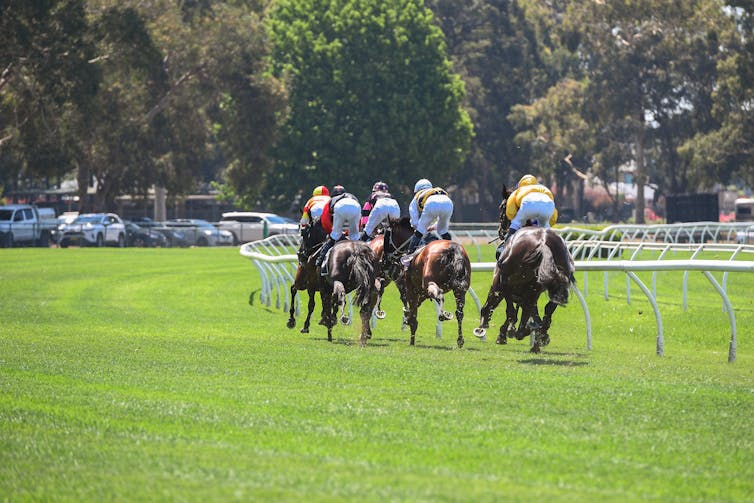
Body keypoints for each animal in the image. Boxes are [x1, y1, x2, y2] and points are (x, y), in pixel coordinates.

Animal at [394, 219, 470, 348]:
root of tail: (453, 249)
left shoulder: (412, 289)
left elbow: (413, 313)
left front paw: (411, 336)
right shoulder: (422, 293)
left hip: (429, 282)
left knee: (439, 295)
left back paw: (443, 314)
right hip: (460, 288)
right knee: (459, 312)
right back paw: (460, 340)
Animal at [472, 186, 572, 354]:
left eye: (501, 207)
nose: (500, 231)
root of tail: (542, 243)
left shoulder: (502, 284)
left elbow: (506, 309)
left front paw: (502, 331)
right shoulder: (530, 292)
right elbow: (529, 311)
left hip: (507, 279)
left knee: (508, 308)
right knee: (548, 310)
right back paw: (539, 335)